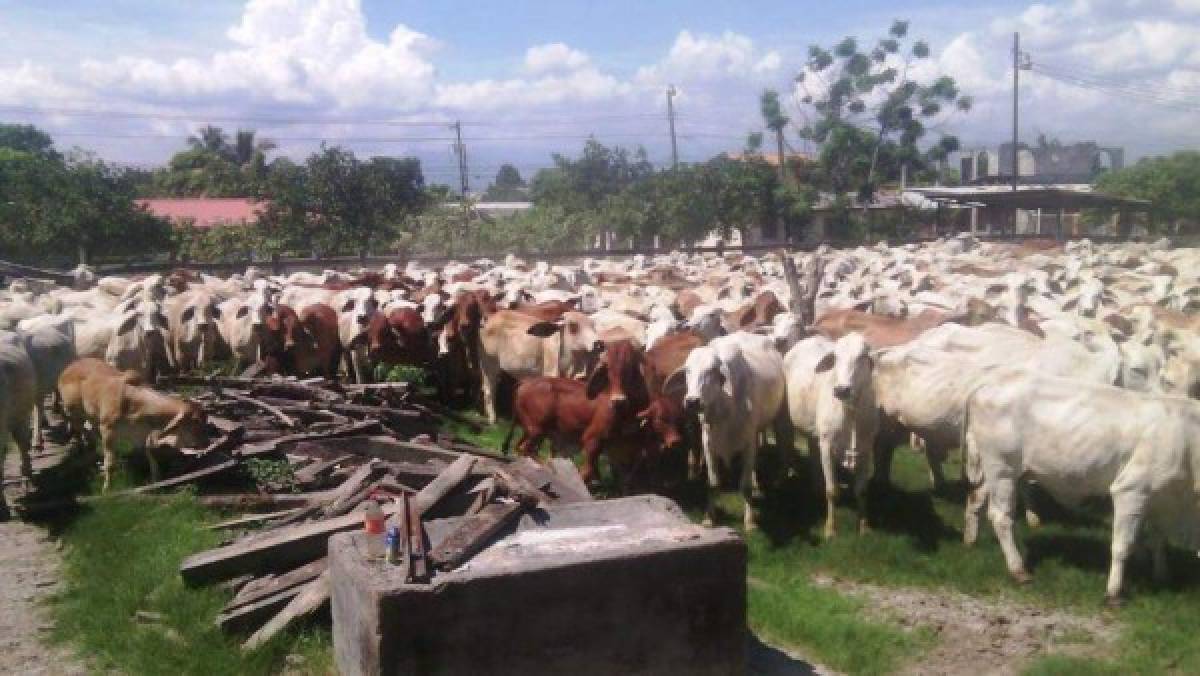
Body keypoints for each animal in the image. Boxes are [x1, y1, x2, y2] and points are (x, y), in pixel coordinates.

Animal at [58, 360, 208, 492]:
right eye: (195, 421)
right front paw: (107, 487)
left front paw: (156, 478)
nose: (206, 442)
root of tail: (67, 369)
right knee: (78, 427)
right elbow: (110, 463)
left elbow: (150, 453)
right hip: (73, 411)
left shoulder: (142, 433)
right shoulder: (108, 430)